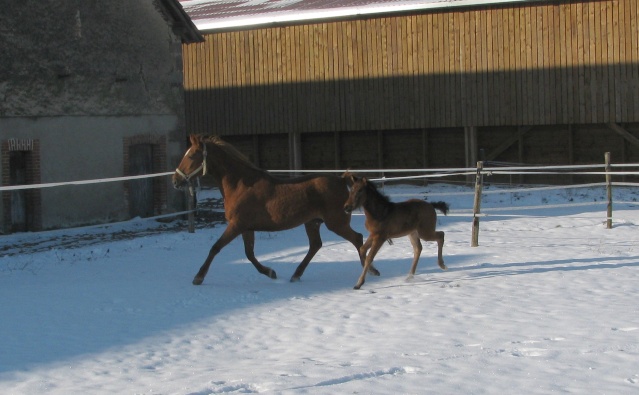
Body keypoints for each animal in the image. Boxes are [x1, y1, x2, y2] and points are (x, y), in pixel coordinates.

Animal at [172, 135, 380, 284]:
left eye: (191, 155)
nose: (176, 180)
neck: (240, 185)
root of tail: (340, 179)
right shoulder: (246, 228)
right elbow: (249, 254)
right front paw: (270, 272)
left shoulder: (236, 225)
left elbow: (216, 247)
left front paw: (198, 277)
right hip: (312, 222)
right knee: (316, 245)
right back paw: (296, 275)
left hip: (335, 223)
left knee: (357, 238)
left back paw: (370, 270)